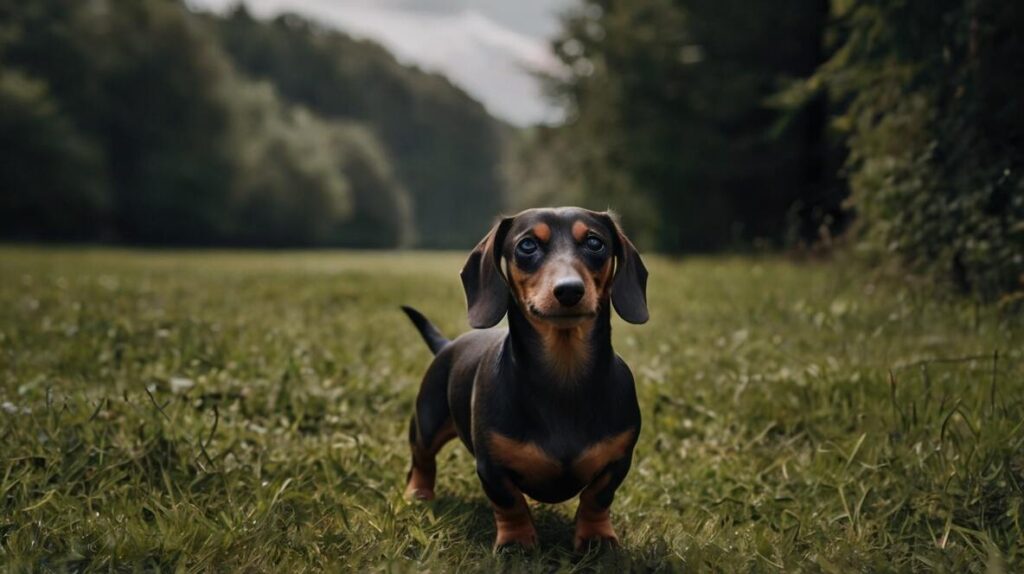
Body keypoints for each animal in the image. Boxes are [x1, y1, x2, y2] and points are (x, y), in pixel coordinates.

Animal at [399, 206, 647, 552]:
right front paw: (516, 541)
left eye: (595, 243)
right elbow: (510, 502)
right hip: (427, 422)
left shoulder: (617, 460)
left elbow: (597, 497)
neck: (563, 373)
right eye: (527, 245)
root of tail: (447, 345)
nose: (569, 290)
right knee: (422, 459)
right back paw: (418, 494)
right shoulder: (491, 466)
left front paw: (596, 537)